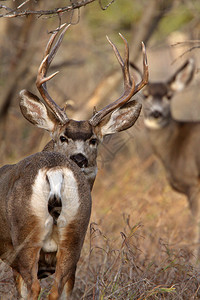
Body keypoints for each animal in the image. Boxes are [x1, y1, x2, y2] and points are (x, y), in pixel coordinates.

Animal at [0, 24, 148, 300]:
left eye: (94, 140)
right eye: (63, 137)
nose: (79, 158)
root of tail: (55, 170)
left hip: (25, 238)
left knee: (34, 287)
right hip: (75, 237)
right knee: (58, 288)